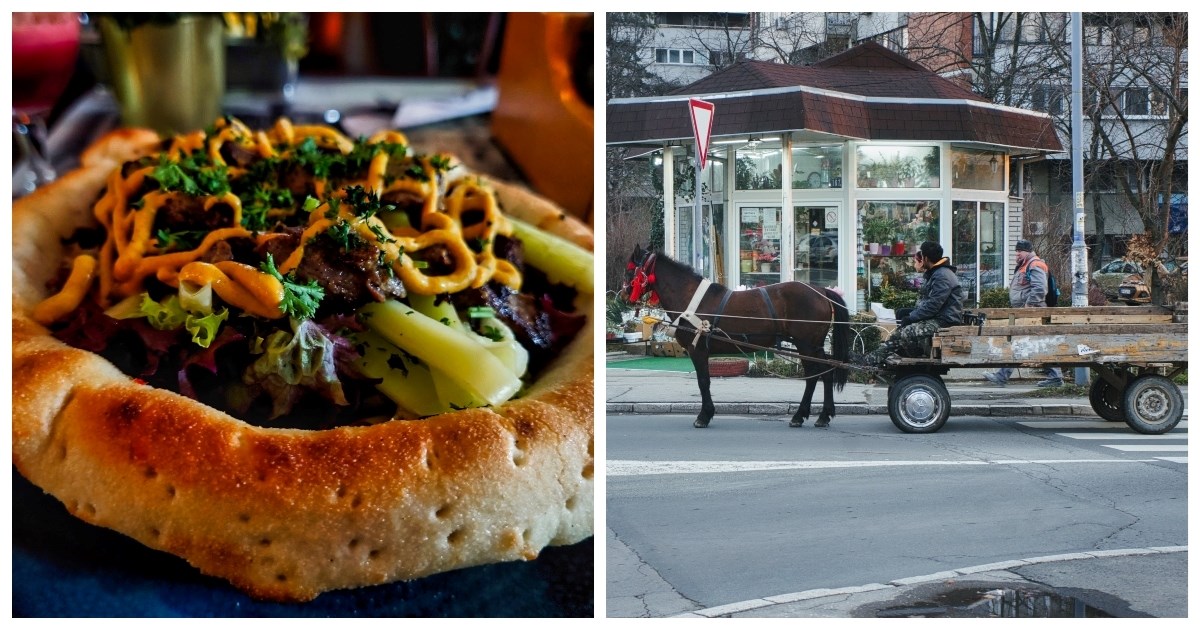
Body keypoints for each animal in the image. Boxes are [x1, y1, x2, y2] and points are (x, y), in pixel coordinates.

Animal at [619, 244, 854, 427]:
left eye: (630, 271)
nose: (622, 295)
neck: (691, 300)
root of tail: (822, 292)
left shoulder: (698, 350)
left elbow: (703, 381)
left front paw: (704, 416)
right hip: (813, 346)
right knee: (824, 374)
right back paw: (819, 415)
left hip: (806, 345)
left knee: (816, 375)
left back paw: (804, 415)